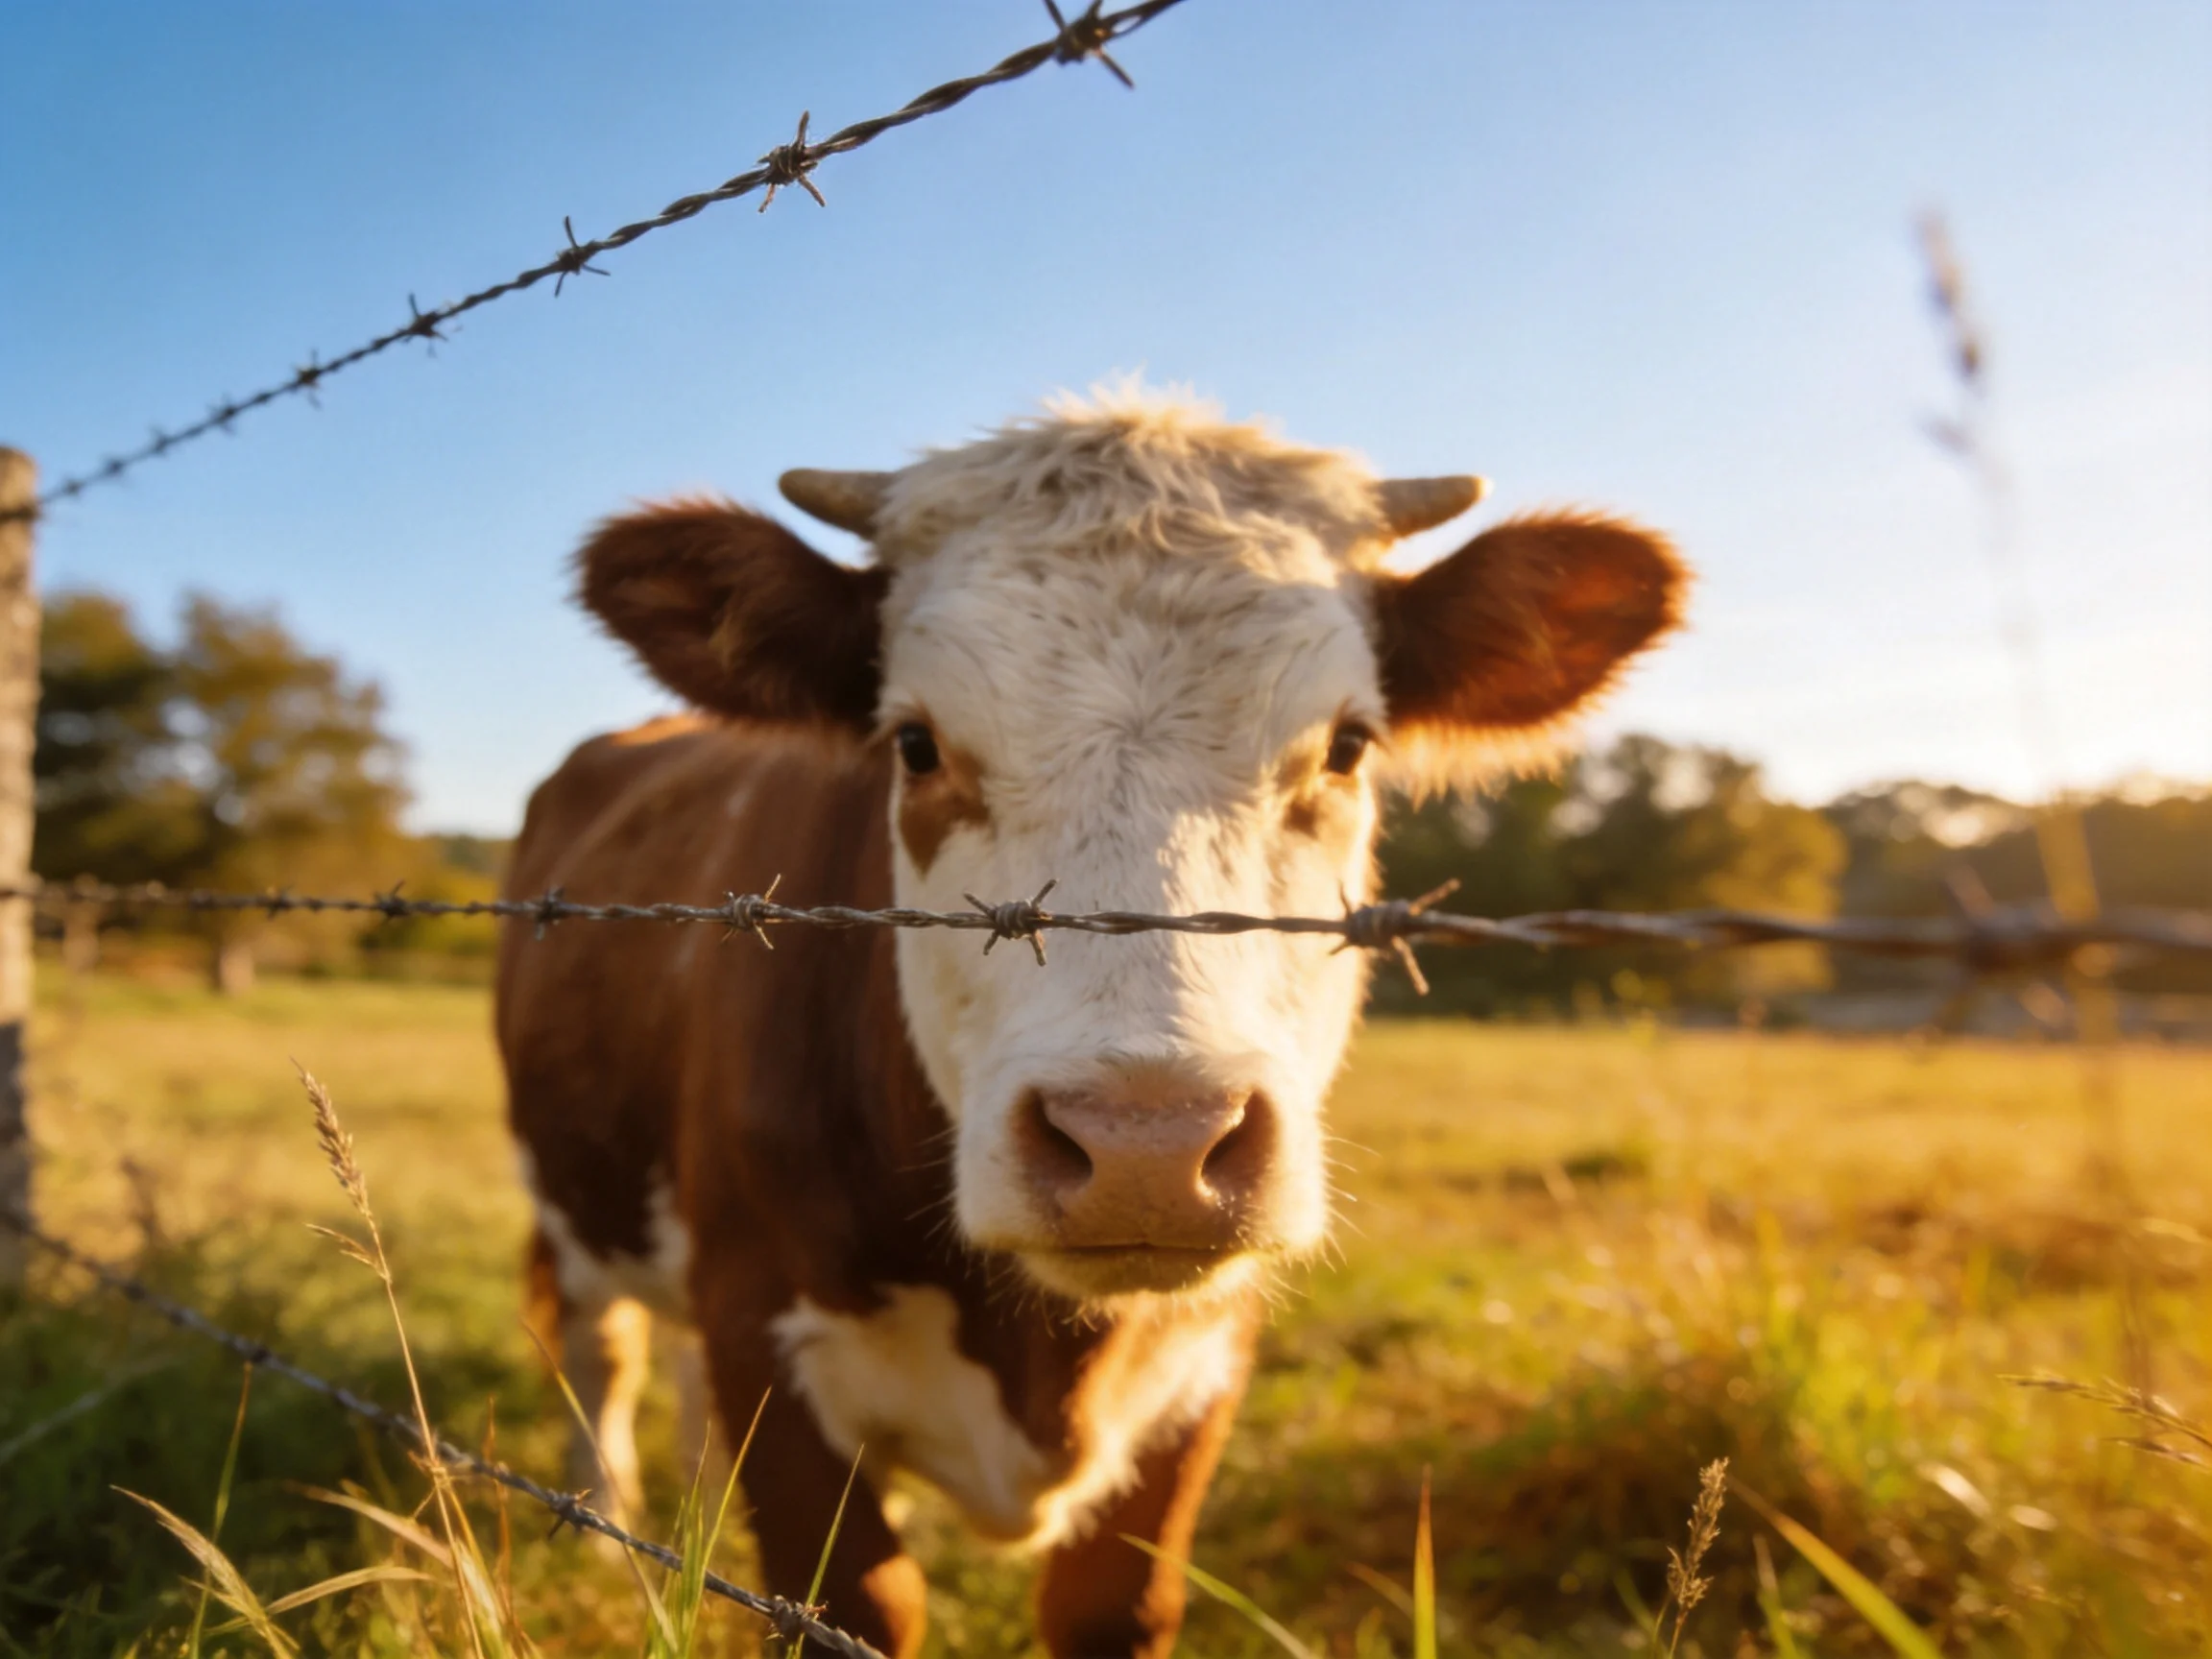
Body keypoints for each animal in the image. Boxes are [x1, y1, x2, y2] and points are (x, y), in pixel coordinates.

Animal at [497, 389, 1684, 1658]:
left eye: (1348, 745)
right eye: (915, 743)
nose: (1146, 1148)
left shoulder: (1203, 1363)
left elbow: (1110, 1603)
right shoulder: (762, 1325)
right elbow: (852, 1602)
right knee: (601, 1343)